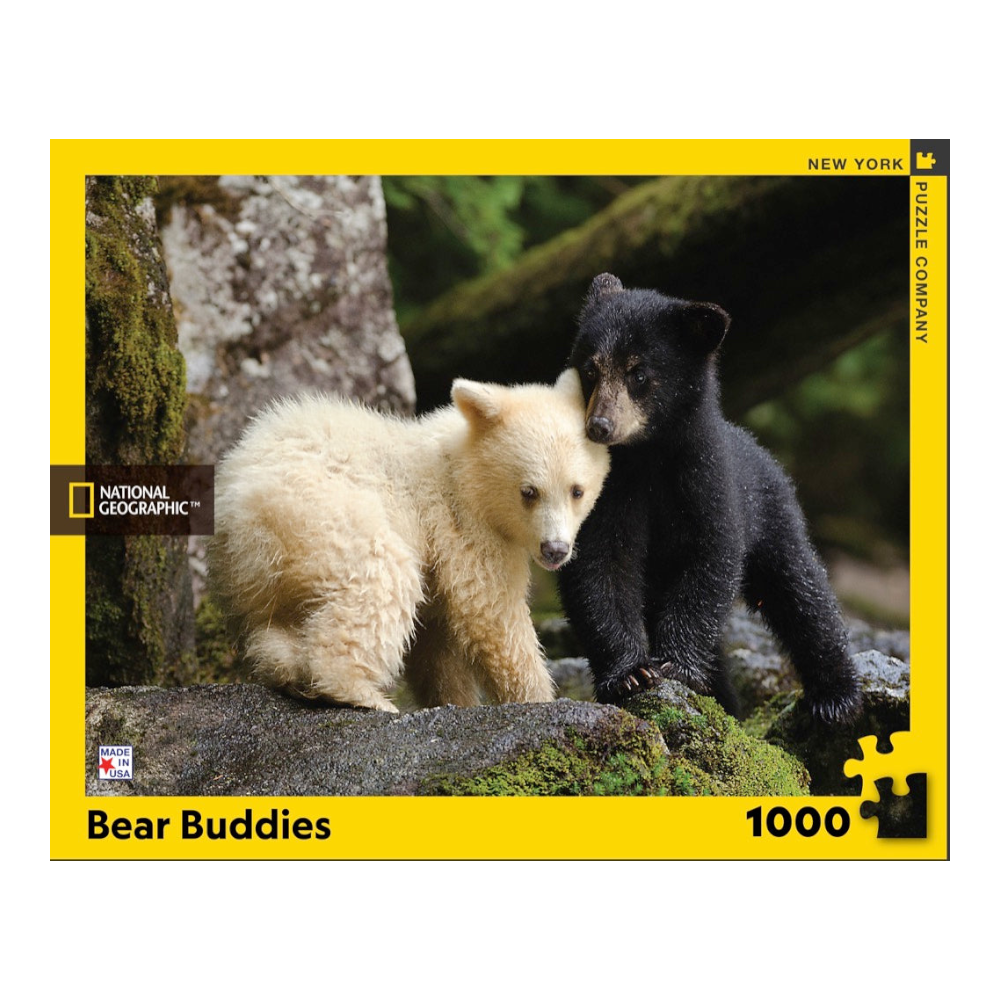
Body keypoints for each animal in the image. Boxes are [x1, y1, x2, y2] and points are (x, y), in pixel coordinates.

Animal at [209, 369, 610, 713]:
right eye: (529, 491)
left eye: (577, 490)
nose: (555, 550)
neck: (464, 469)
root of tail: (237, 509)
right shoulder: (463, 525)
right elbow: (491, 612)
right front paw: (538, 697)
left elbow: (437, 646)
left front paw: (455, 700)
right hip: (323, 514)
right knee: (382, 578)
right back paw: (360, 692)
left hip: (263, 573)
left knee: (275, 623)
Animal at [556, 273, 862, 724]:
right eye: (590, 369)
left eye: (639, 373)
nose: (599, 426)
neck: (647, 456)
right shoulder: (606, 491)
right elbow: (599, 564)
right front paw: (631, 674)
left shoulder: (707, 480)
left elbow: (710, 557)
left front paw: (676, 666)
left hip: (773, 513)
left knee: (801, 590)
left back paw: (835, 695)